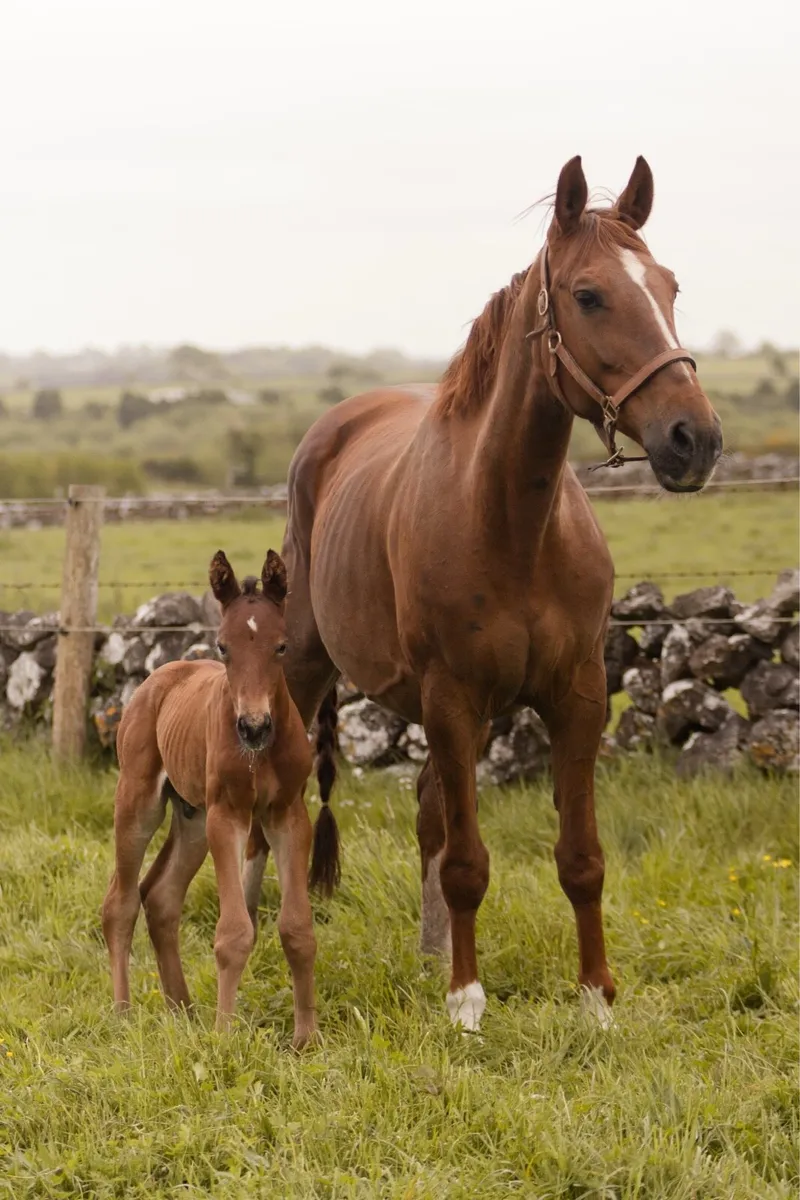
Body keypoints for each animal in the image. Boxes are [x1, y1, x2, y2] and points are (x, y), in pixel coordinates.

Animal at [102, 549, 333, 1047]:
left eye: (281, 646)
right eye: (224, 647)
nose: (253, 727)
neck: (261, 752)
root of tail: (162, 674)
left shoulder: (287, 814)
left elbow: (298, 929)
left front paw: (306, 1038)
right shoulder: (229, 815)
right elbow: (233, 933)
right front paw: (225, 1036)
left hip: (193, 819)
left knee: (161, 897)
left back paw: (183, 1011)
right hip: (140, 802)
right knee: (121, 903)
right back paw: (124, 1013)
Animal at [277, 155, 723, 1031]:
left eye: (669, 286)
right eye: (588, 295)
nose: (695, 439)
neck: (511, 524)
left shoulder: (575, 697)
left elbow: (579, 858)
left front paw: (595, 1002)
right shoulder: (453, 699)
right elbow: (468, 863)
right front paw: (466, 1004)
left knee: (427, 812)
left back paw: (428, 953)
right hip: (313, 667)